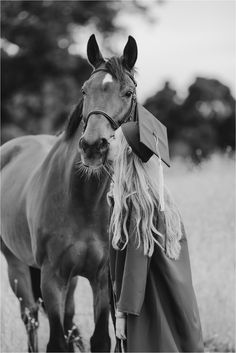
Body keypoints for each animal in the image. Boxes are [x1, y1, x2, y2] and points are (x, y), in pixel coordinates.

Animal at [0, 33, 138, 352]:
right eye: (85, 90)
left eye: (128, 93)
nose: (93, 147)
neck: (82, 200)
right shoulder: (52, 277)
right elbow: (56, 341)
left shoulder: (100, 279)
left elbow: (99, 339)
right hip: (17, 268)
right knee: (31, 319)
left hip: (71, 281)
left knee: (69, 317)